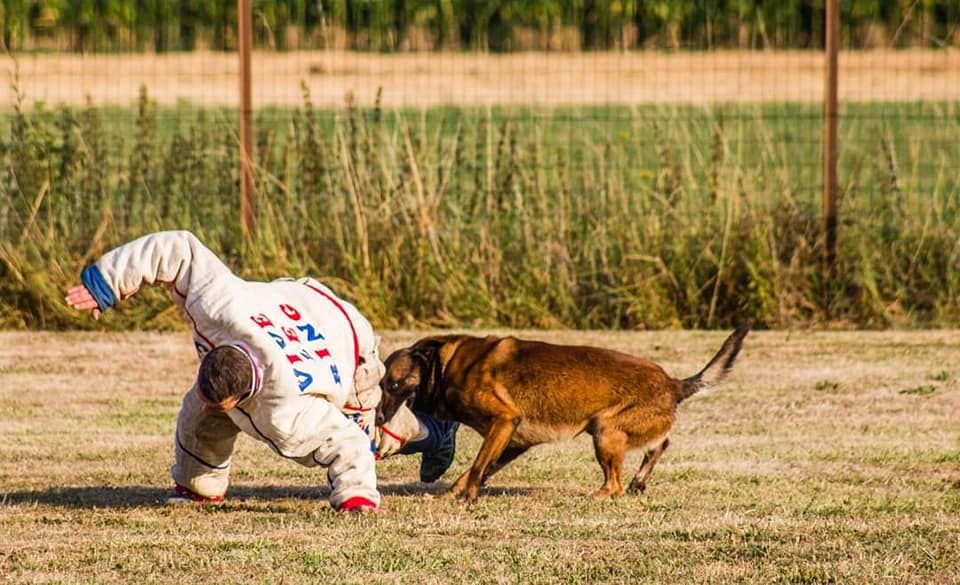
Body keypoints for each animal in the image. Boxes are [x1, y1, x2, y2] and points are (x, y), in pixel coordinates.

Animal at [376, 328, 752, 502]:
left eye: (392, 384)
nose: (377, 419)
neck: (445, 366)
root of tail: (673, 383)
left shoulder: (503, 422)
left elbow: (478, 466)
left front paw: (466, 499)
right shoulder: (511, 439)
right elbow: (474, 471)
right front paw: (452, 494)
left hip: (604, 430)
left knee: (614, 483)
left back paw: (600, 493)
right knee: (659, 445)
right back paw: (640, 480)